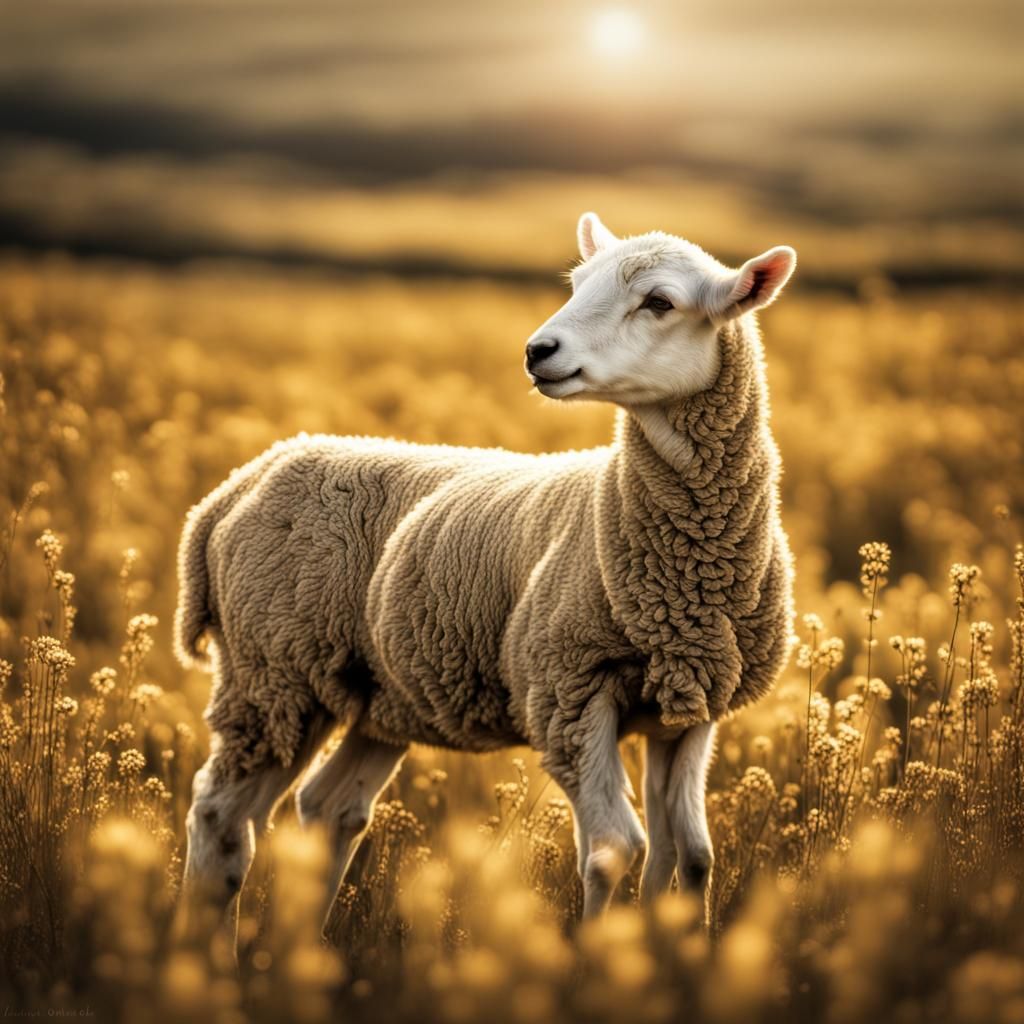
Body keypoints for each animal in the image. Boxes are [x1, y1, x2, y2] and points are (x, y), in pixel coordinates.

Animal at [176, 212, 796, 928]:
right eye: (577, 283)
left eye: (660, 302)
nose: (538, 351)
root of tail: (233, 488)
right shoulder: (566, 692)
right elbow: (616, 849)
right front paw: (598, 950)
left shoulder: (690, 706)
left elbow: (689, 858)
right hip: (273, 672)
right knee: (220, 816)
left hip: (374, 692)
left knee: (329, 807)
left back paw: (299, 944)